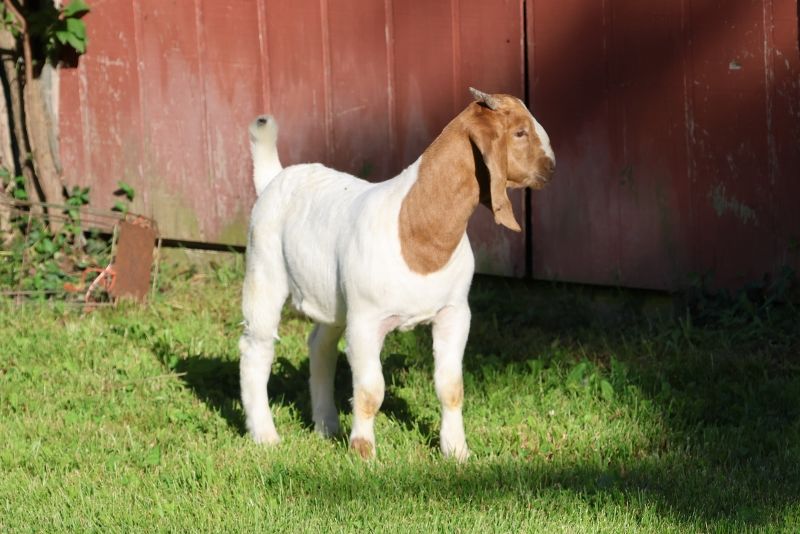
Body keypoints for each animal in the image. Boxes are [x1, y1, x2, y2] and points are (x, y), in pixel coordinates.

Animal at [240, 88, 555, 460]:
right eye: (520, 132)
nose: (551, 167)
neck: (416, 227)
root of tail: (274, 178)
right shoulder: (366, 320)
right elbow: (370, 390)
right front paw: (363, 451)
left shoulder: (454, 313)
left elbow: (451, 386)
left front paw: (457, 451)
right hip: (264, 269)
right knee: (256, 347)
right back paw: (265, 435)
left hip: (333, 299)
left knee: (320, 345)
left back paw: (327, 426)